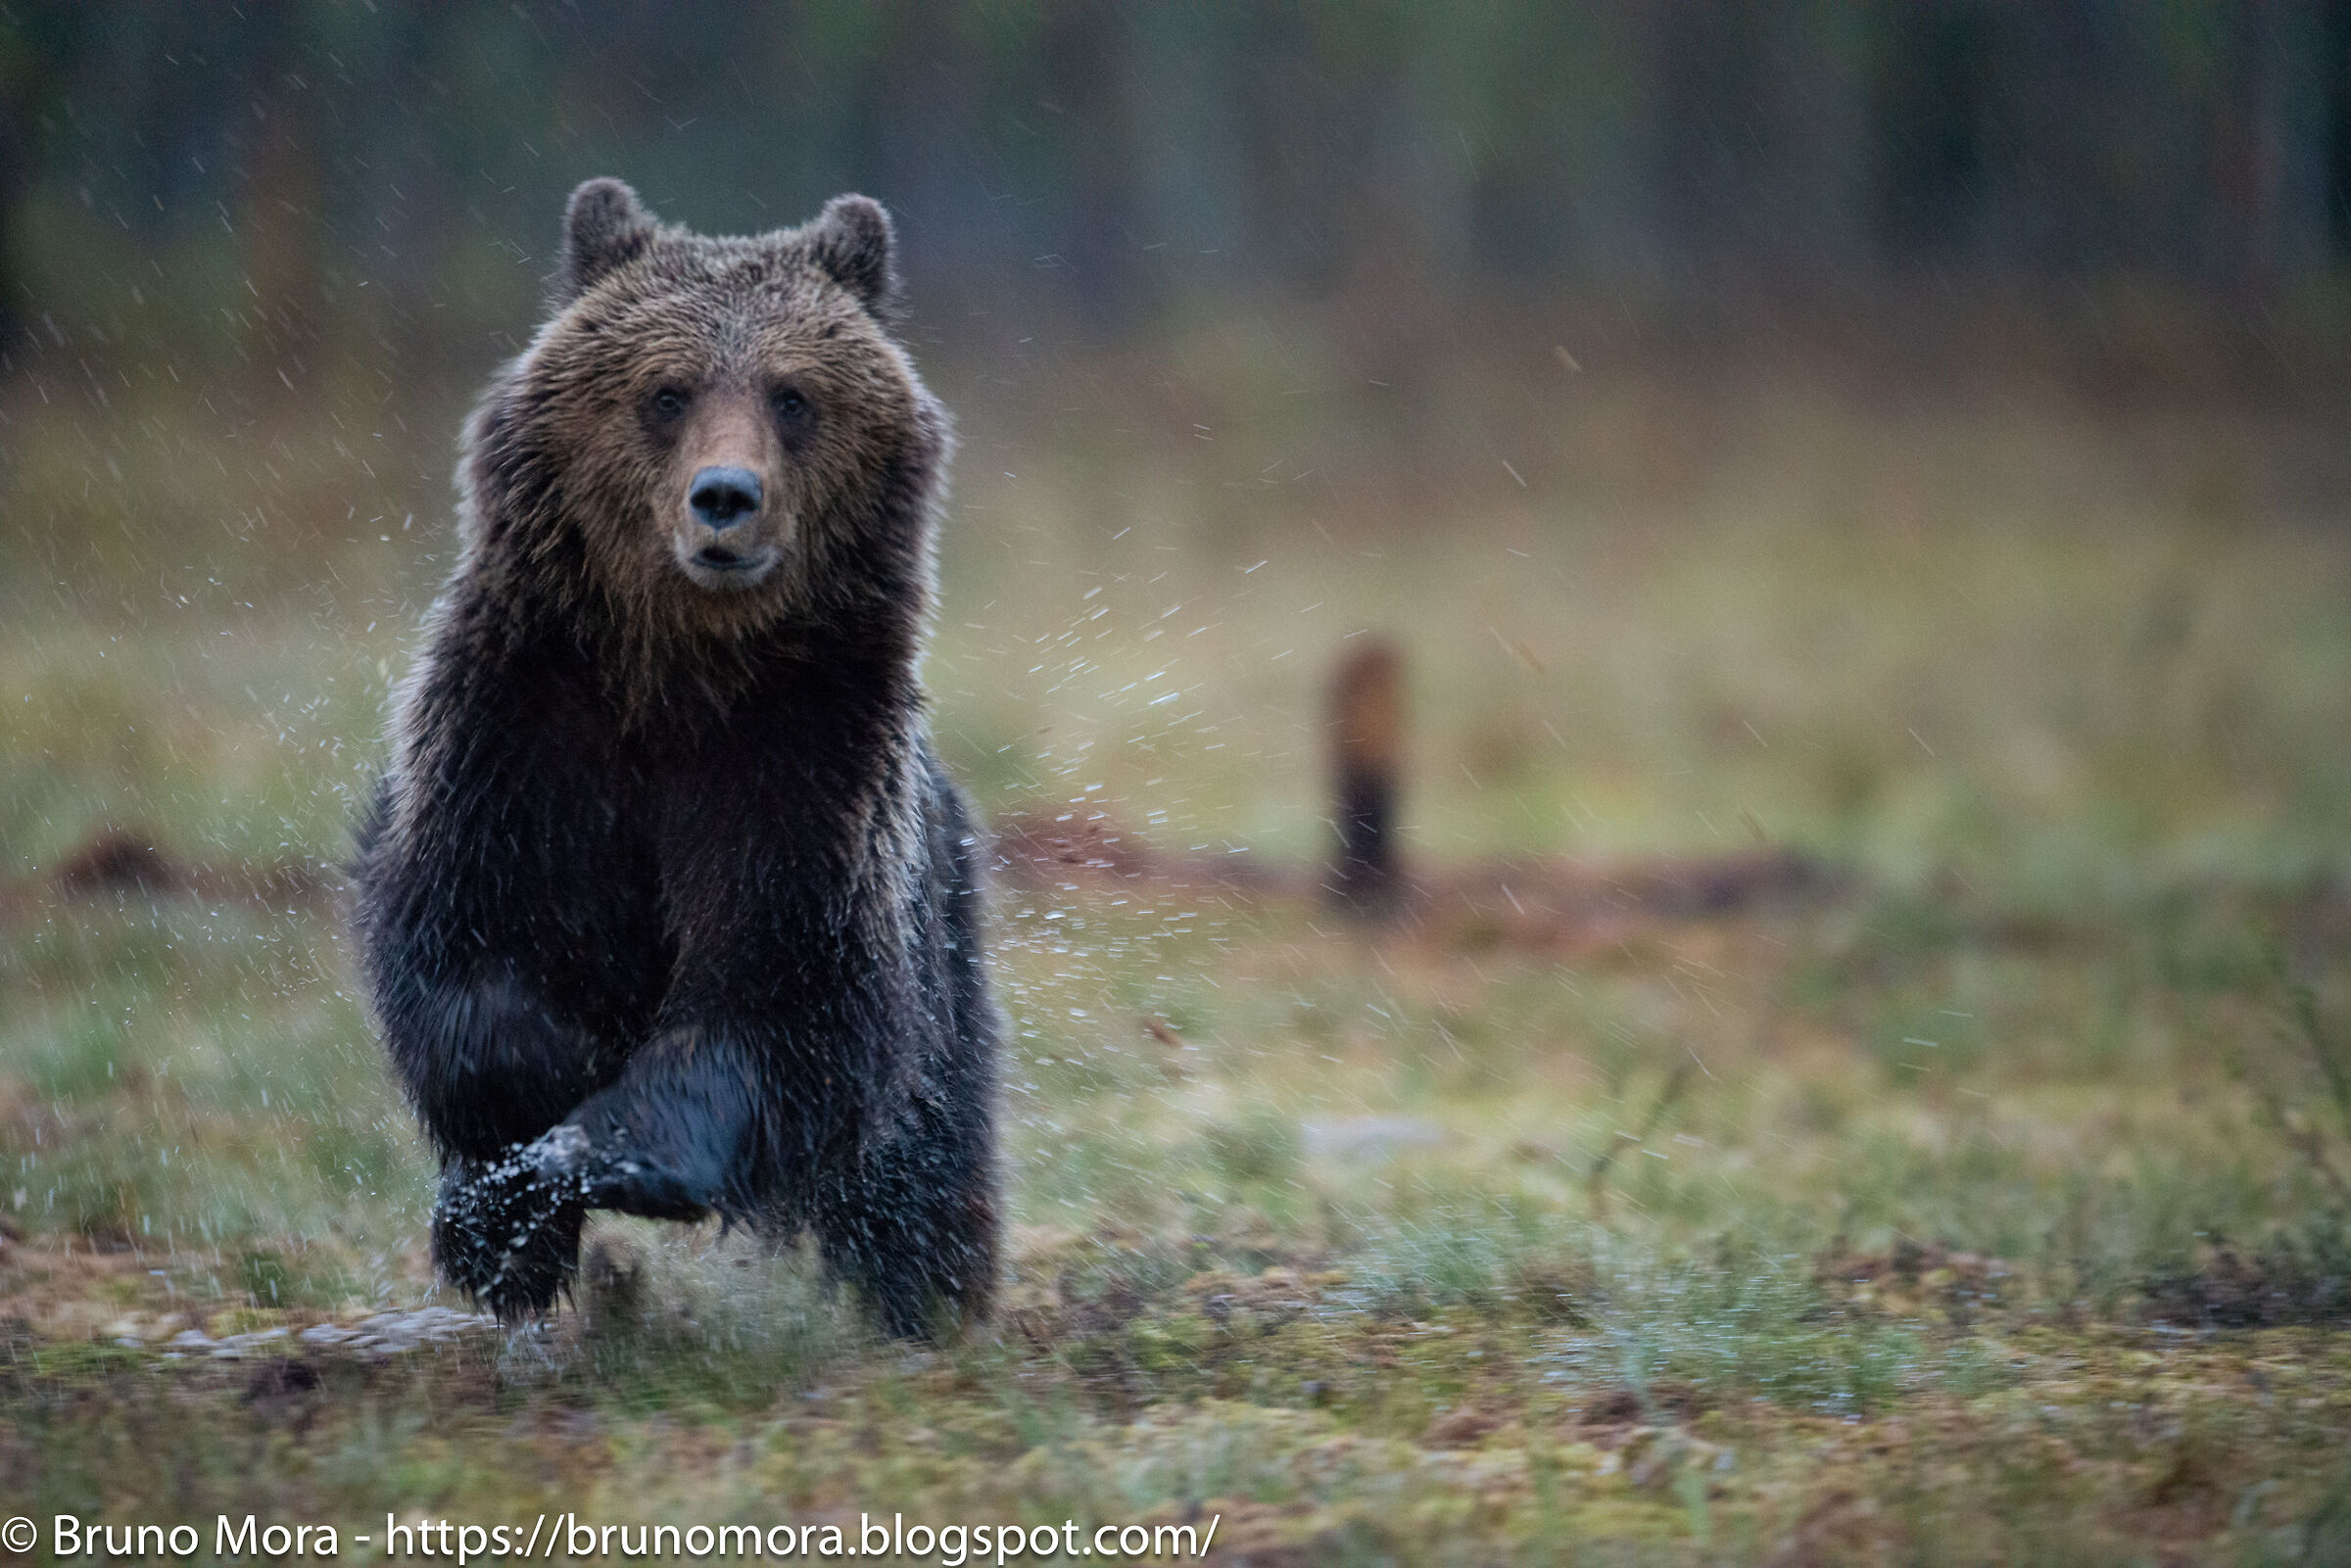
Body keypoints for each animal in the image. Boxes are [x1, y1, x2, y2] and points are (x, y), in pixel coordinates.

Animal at [350, 177, 1001, 1338]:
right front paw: (527, 1150)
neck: (676, 678)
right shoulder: (520, 735)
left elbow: (782, 987)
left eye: (793, 394)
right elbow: (467, 951)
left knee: (924, 1165)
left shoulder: (803, 766)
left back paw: (931, 1301)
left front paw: (617, 1146)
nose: (726, 497)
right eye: (666, 390)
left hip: (946, 933)